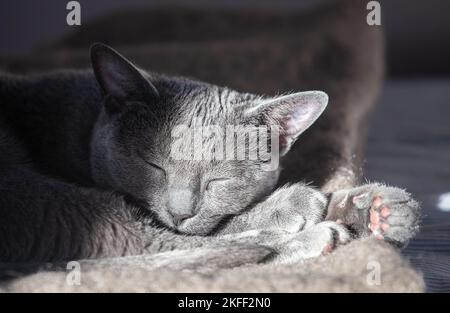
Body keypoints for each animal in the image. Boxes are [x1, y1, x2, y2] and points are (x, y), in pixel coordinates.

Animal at [0, 42, 422, 270]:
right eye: (153, 166)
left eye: (219, 181)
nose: (179, 211)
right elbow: (213, 229)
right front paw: (300, 205)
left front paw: (379, 207)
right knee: (151, 245)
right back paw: (316, 238)